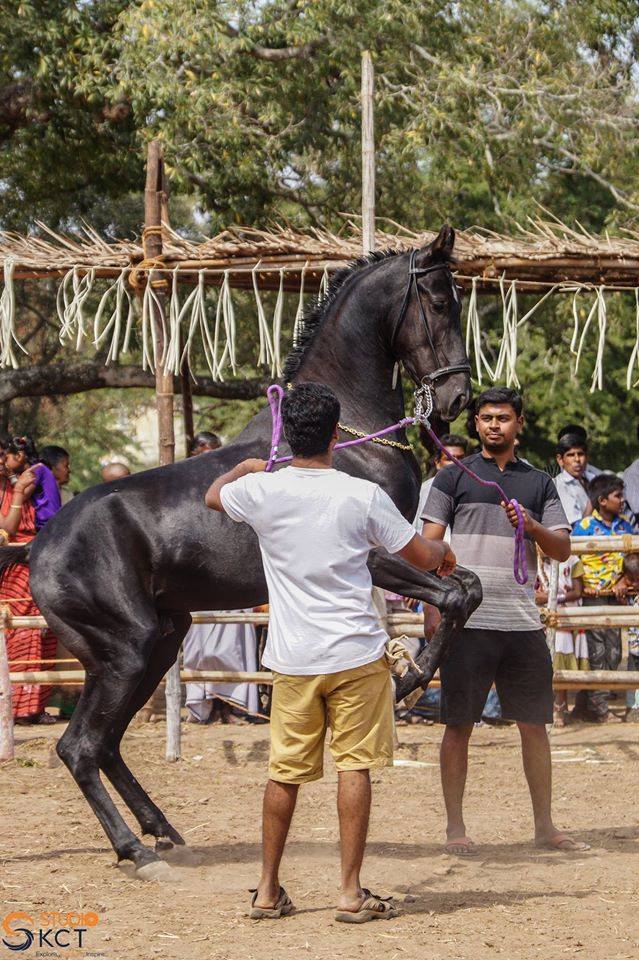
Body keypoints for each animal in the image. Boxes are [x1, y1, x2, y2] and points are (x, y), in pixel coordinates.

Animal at [1, 223, 480, 876]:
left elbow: (469, 588)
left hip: (156, 644)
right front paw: (408, 680)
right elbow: (454, 598)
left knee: (106, 745)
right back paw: (136, 850)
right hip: (125, 650)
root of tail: (36, 549)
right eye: (437, 301)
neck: (344, 435)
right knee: (80, 747)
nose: (457, 397)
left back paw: (161, 831)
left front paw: (407, 673)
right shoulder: (376, 556)